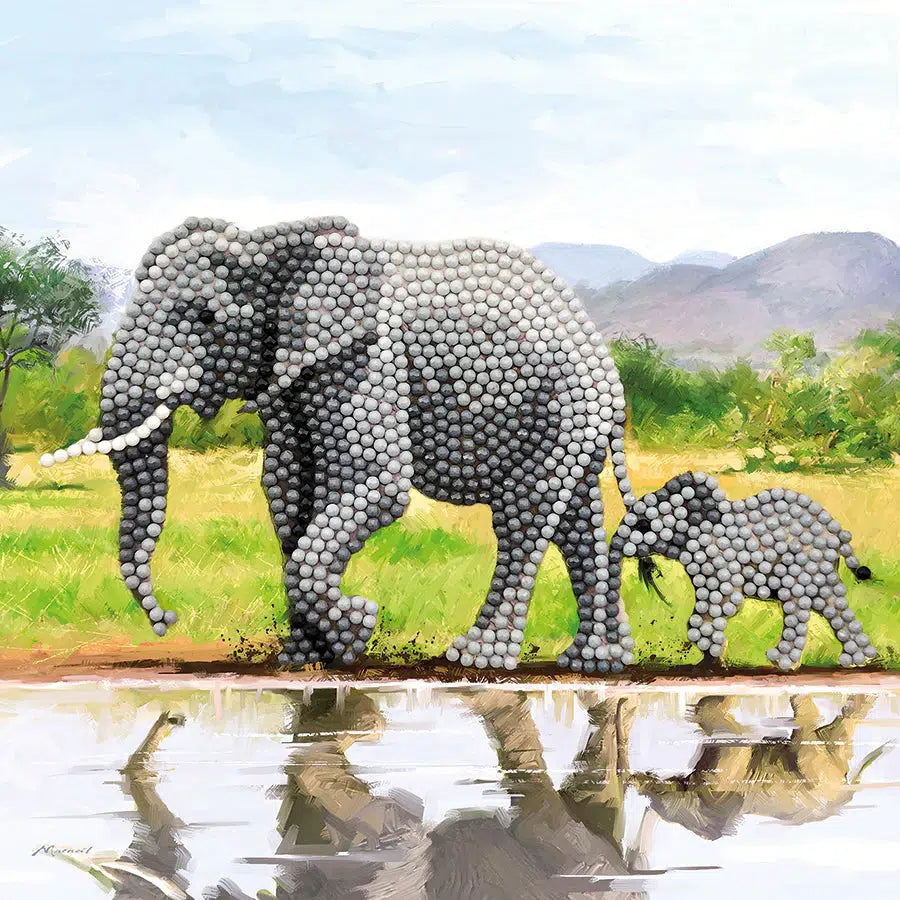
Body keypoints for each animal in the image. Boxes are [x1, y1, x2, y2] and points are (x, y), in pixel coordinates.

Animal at [42, 215, 637, 672]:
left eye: (207, 318)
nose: (167, 619)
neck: (273, 244)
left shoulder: (367, 358)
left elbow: (375, 484)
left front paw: (358, 626)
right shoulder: (289, 375)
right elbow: (287, 492)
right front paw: (306, 657)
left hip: (564, 407)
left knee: (523, 517)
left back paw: (477, 658)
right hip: (572, 422)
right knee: (575, 524)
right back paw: (596, 663)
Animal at [609, 471, 877, 669]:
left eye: (643, 525)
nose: (649, 569)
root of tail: (837, 532)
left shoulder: (721, 563)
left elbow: (722, 604)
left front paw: (714, 660)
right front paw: (709, 662)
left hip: (802, 565)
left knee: (799, 608)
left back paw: (782, 662)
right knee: (831, 605)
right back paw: (858, 660)